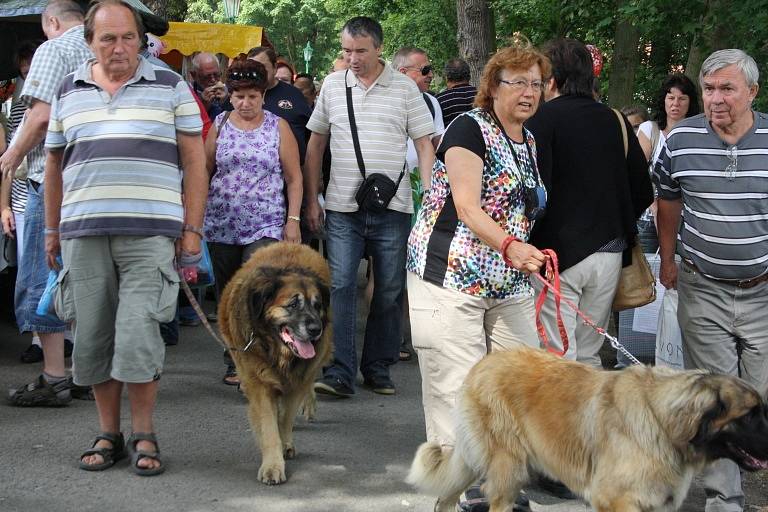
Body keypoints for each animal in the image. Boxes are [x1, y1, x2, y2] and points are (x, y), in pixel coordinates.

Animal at [219, 242, 332, 486]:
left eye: (317, 305)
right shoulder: (259, 383)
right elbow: (269, 426)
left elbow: (286, 417)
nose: (316, 329)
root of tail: (292, 243)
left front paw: (285, 443)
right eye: (293, 304)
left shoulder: (297, 380)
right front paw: (272, 465)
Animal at [408, 346, 768, 510]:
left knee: (445, 497)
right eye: (749, 415)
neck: (659, 419)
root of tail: (484, 362)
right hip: (508, 467)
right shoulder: (615, 500)